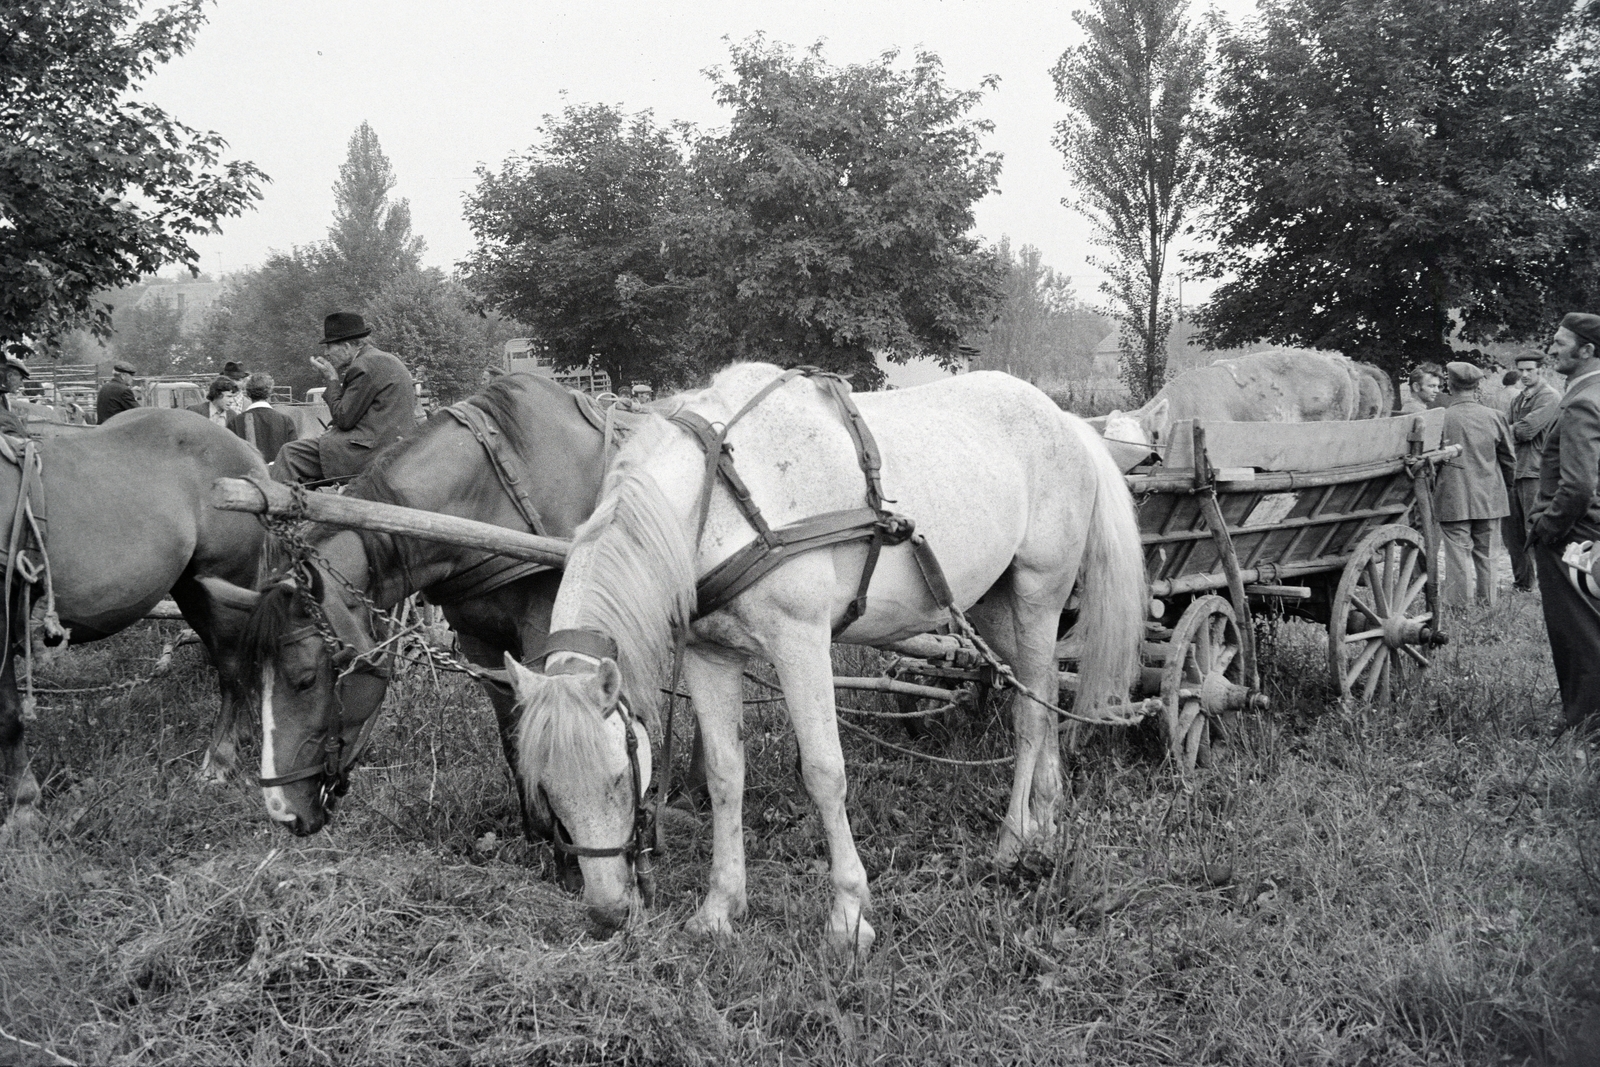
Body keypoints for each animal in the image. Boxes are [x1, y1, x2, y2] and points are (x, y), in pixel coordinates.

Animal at [0, 412, 268, 838]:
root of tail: (245, 449)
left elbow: (7, 717)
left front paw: (22, 808)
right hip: (193, 589)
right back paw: (242, 734)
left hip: (225, 579)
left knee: (232, 673)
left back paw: (219, 759)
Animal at [206, 375, 611, 844]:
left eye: (305, 680)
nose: (282, 811)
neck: (499, 490)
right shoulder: (480, 641)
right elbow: (513, 735)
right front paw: (538, 831)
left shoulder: (548, 635)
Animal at [505, 364, 1145, 953]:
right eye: (544, 790)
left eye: (621, 776)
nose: (607, 913)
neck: (717, 504)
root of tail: (1064, 419)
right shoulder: (711, 657)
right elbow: (724, 776)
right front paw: (720, 907)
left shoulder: (802, 643)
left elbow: (823, 772)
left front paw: (848, 914)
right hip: (991, 604)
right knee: (1043, 693)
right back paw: (1046, 822)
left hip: (1039, 593)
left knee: (1032, 715)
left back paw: (1013, 840)